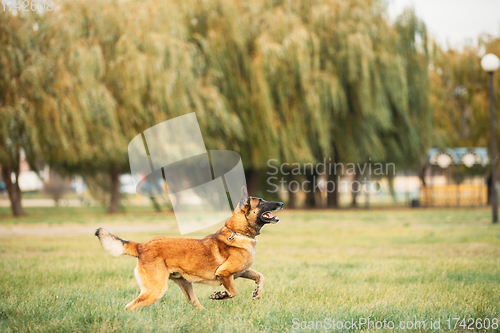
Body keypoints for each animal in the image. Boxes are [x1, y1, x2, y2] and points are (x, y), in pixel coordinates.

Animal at [94, 187, 282, 308]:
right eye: (261, 202)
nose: (280, 202)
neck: (238, 232)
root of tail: (142, 245)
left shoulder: (241, 272)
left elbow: (260, 276)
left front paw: (257, 293)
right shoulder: (225, 274)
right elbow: (233, 292)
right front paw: (220, 295)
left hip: (185, 285)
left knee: (195, 304)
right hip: (155, 290)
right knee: (130, 307)